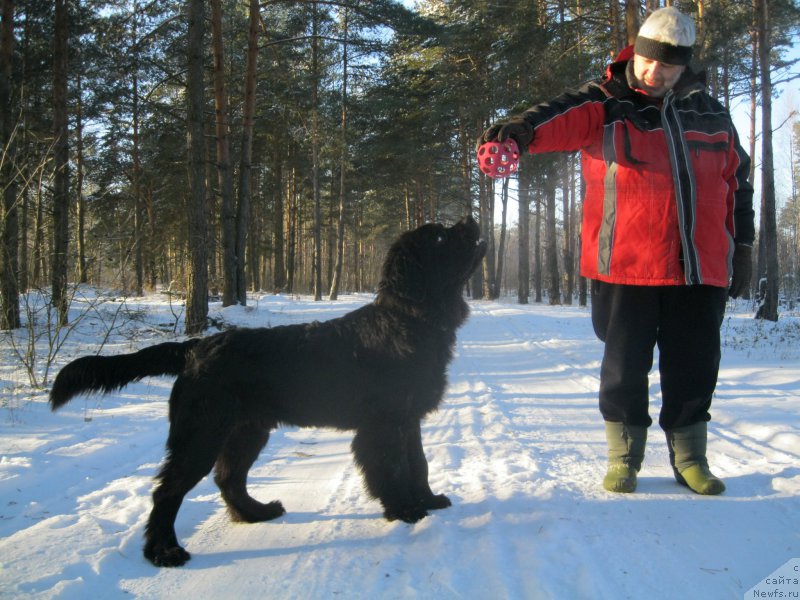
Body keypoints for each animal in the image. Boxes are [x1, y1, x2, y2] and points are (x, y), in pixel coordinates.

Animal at [53, 216, 488, 568]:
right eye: (438, 237)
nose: (471, 218)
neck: (409, 320)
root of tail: (196, 347)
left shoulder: (409, 419)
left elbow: (419, 464)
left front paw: (428, 500)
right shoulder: (383, 424)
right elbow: (394, 468)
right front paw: (404, 510)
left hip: (247, 430)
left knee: (228, 478)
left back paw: (256, 512)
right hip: (201, 434)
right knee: (167, 491)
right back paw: (164, 551)